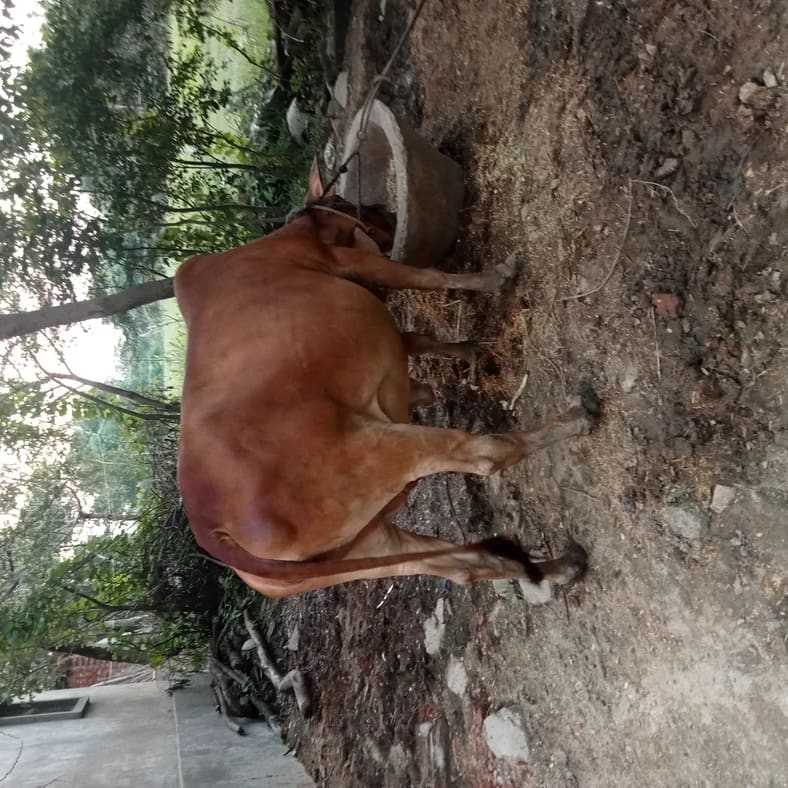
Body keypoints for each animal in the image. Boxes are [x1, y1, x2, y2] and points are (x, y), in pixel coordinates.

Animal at [174, 165, 596, 600]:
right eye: (346, 203)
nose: (388, 214)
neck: (288, 237)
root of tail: (212, 530)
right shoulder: (355, 260)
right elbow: (425, 277)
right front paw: (497, 278)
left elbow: (416, 340)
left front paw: (465, 355)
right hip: (383, 448)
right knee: (486, 455)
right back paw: (576, 418)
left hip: (364, 545)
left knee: (462, 564)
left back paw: (561, 567)